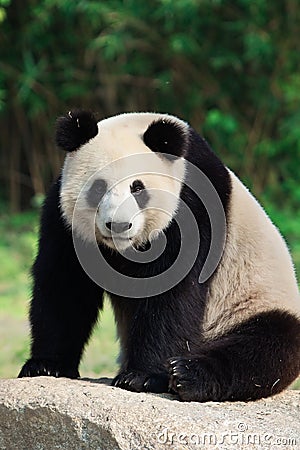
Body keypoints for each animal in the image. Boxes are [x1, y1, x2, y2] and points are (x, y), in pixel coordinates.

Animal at [18, 109, 300, 400]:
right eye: (98, 187)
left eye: (137, 188)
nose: (118, 225)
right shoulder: (63, 219)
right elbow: (65, 286)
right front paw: (46, 365)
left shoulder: (192, 206)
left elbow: (172, 295)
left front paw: (142, 377)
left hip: (253, 302)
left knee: (265, 348)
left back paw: (188, 374)